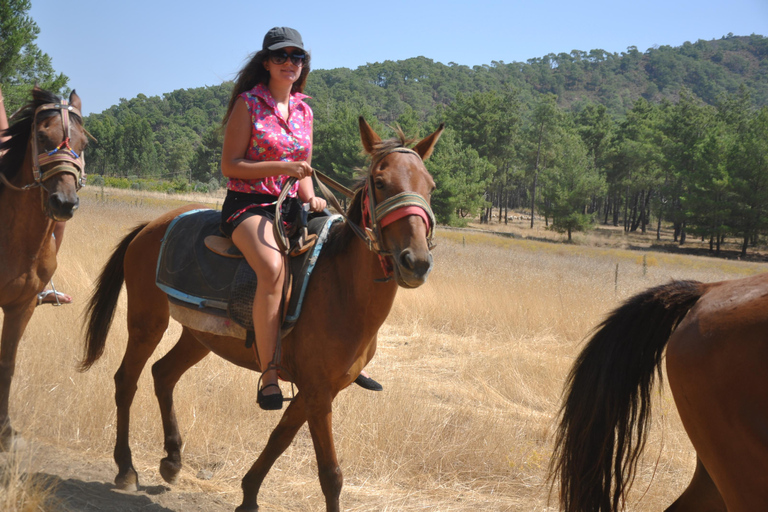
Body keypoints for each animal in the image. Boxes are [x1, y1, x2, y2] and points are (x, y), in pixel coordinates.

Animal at [80, 117, 443, 512]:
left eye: (430, 186)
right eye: (380, 182)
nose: (416, 262)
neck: (341, 287)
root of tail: (151, 226)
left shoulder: (318, 391)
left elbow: (279, 438)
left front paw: (249, 495)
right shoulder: (317, 392)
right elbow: (330, 474)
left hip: (199, 337)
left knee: (163, 374)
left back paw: (172, 460)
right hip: (147, 322)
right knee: (126, 381)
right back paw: (126, 467)